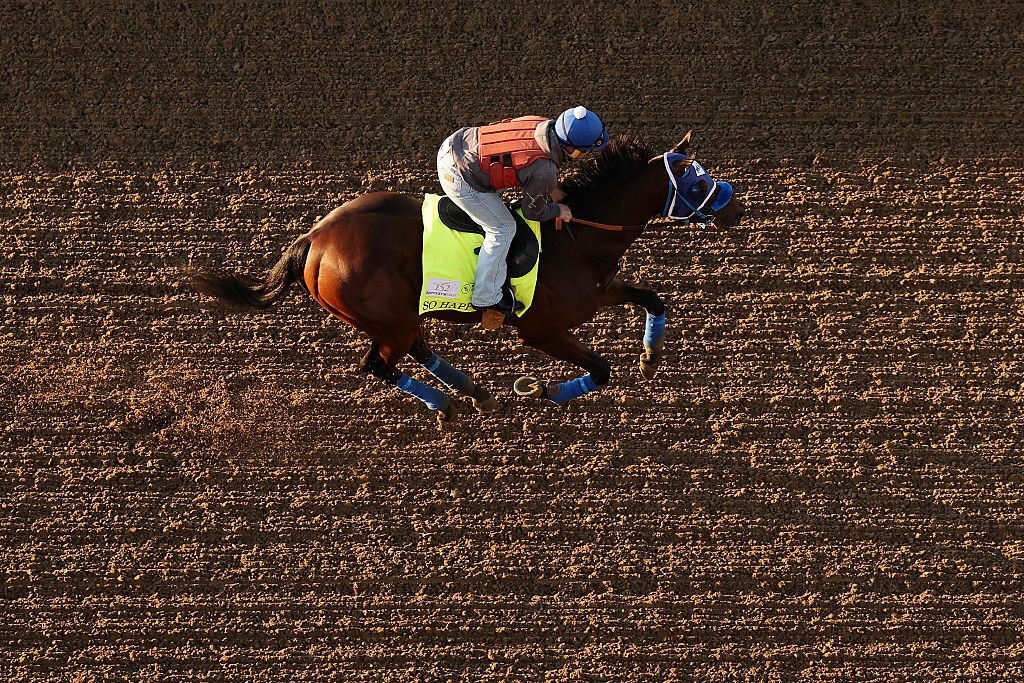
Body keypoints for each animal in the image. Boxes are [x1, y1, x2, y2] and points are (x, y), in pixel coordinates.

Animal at [191, 131, 746, 422]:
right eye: (696, 180)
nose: (735, 208)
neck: (578, 237)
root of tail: (315, 238)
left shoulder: (600, 291)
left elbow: (653, 298)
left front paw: (650, 358)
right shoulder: (539, 329)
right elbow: (602, 368)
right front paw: (544, 391)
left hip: (395, 316)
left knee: (414, 349)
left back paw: (473, 391)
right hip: (386, 318)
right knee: (379, 365)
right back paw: (446, 403)